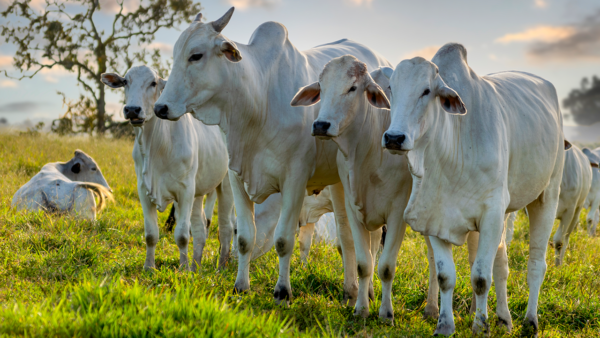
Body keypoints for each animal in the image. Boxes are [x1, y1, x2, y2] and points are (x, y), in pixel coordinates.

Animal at [102, 65, 236, 272]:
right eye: (125, 81)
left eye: (153, 83)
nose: (132, 109)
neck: (156, 146)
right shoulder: (144, 190)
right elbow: (151, 234)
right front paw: (149, 267)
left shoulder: (185, 191)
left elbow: (182, 235)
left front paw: (183, 269)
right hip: (198, 192)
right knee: (200, 228)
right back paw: (196, 265)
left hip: (226, 185)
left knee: (226, 227)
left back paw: (220, 265)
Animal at [152, 6, 392, 304]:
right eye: (175, 54)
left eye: (196, 55)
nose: (160, 108)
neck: (259, 98)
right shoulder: (236, 176)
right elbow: (245, 237)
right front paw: (240, 286)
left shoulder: (294, 180)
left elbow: (283, 240)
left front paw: (282, 292)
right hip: (339, 182)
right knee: (348, 237)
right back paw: (352, 291)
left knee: (366, 239)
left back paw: (363, 292)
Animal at [384, 43, 568, 336]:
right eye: (391, 88)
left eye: (426, 91)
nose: (394, 138)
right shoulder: (434, 216)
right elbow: (446, 275)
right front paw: (445, 324)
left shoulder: (491, 214)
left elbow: (481, 277)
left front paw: (481, 325)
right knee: (502, 263)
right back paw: (504, 318)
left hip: (546, 197)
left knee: (536, 266)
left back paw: (530, 320)